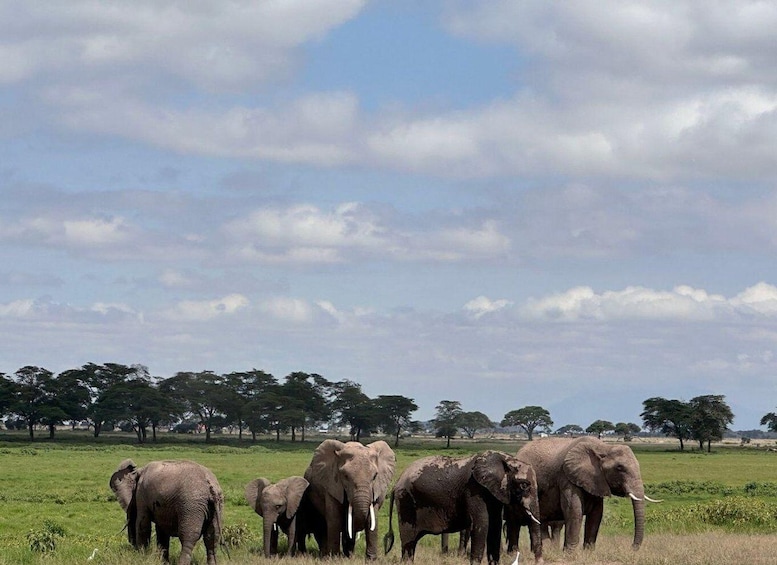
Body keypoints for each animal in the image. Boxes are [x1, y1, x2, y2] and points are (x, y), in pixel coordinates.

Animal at [384, 451, 544, 565]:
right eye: (524, 485)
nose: (539, 561)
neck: (505, 458)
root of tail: (396, 484)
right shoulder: (474, 489)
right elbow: (482, 524)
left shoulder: (494, 491)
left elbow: (495, 525)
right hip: (406, 501)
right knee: (409, 541)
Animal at [513, 437, 660, 552]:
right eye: (620, 468)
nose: (632, 547)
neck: (603, 447)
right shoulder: (567, 476)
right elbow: (574, 511)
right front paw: (570, 555)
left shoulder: (596, 480)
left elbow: (596, 514)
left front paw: (588, 552)